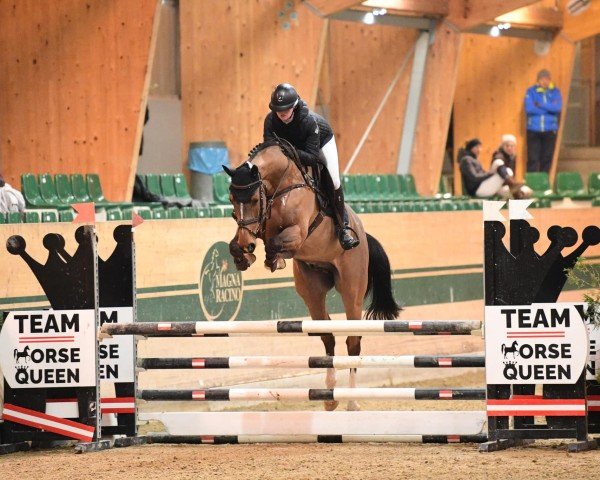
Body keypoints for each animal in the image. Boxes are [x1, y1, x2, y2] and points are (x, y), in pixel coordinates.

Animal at [223, 137, 400, 410]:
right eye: (232, 199)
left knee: (353, 341)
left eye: (253, 199)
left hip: (352, 289)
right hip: (312, 290)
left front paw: (271, 259)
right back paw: (330, 397)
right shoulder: (260, 227)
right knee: (327, 335)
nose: (247, 243)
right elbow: (244, 242)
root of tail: (361, 232)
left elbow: (275, 242)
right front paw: (245, 255)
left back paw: (351, 402)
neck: (280, 186)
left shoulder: (297, 232)